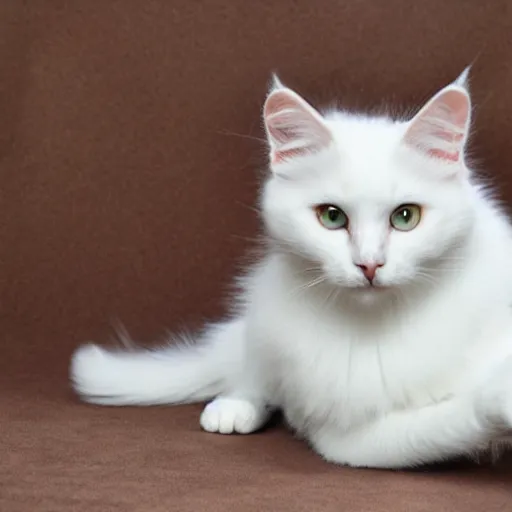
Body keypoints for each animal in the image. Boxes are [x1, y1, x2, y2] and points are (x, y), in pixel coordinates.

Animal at [70, 70, 512, 470]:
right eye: (332, 217)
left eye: (406, 217)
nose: (369, 264)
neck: (378, 328)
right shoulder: (349, 439)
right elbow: (463, 413)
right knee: (256, 376)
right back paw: (232, 408)